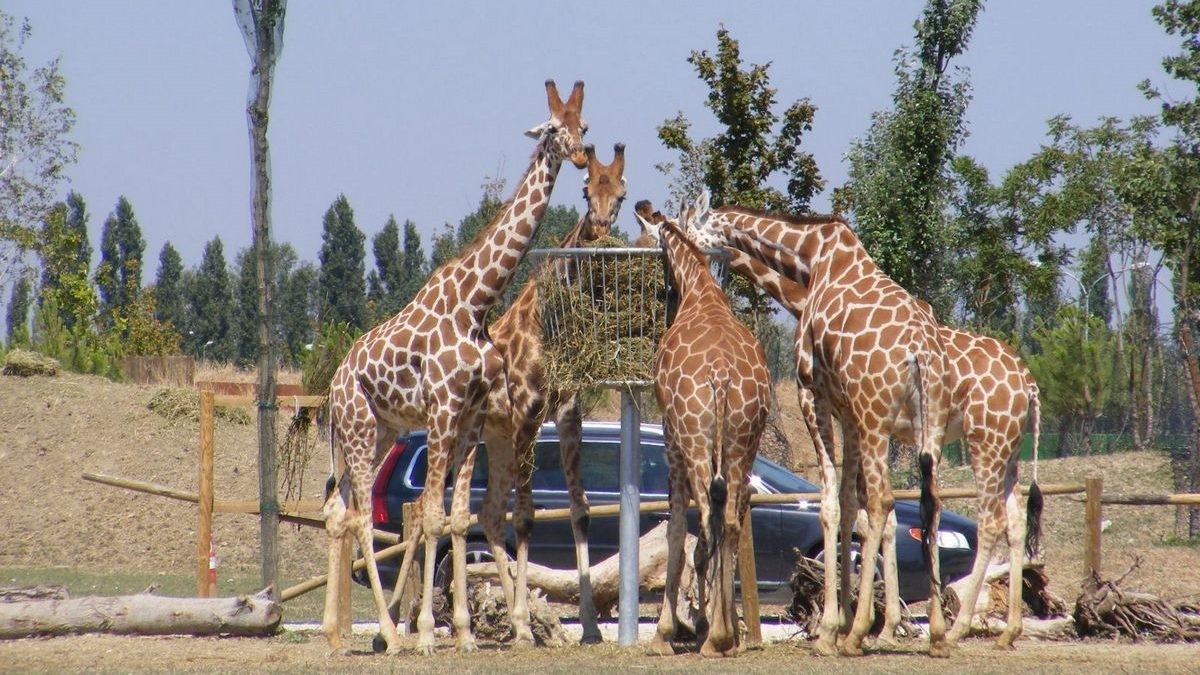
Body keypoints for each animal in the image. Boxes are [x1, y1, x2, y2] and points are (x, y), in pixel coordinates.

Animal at [321, 77, 588, 653]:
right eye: (553, 128)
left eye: (585, 126)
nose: (580, 155)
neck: (476, 303)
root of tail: (332, 388)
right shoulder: (444, 410)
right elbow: (434, 516)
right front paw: (425, 634)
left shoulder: (471, 415)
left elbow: (456, 517)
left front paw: (462, 634)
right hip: (359, 431)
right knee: (358, 516)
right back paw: (388, 635)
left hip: (375, 432)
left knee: (337, 512)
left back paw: (334, 634)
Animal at [648, 207, 768, 653]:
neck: (700, 290)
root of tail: (720, 375)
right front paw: (715, 624)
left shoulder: (671, 440)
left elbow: (676, 531)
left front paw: (667, 631)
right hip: (741, 445)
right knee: (729, 521)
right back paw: (723, 635)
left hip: (696, 442)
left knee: (703, 521)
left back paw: (711, 635)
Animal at [686, 204, 955, 653]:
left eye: (689, 227)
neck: (811, 257)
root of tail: (920, 353)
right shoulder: (848, 410)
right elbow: (847, 504)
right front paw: (842, 620)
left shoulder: (812, 391)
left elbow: (831, 503)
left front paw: (833, 629)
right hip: (924, 424)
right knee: (927, 504)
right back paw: (935, 632)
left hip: (879, 417)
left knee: (884, 501)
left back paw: (862, 632)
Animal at [715, 239, 1046, 648]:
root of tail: (1029, 385)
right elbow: (886, 517)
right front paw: (884, 626)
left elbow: (869, 511)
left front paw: (861, 625)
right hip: (1009, 449)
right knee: (1015, 520)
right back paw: (1008, 630)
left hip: (986, 441)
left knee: (990, 520)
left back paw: (957, 629)